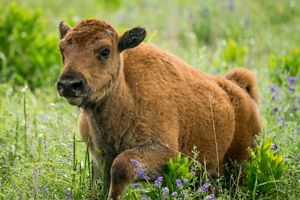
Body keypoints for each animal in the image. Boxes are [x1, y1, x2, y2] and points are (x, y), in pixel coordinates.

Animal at [56, 18, 262, 198]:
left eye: (105, 51)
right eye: (62, 50)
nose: (69, 84)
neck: (127, 95)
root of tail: (239, 89)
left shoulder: (163, 151)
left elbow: (120, 167)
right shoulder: (99, 158)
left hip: (240, 164)